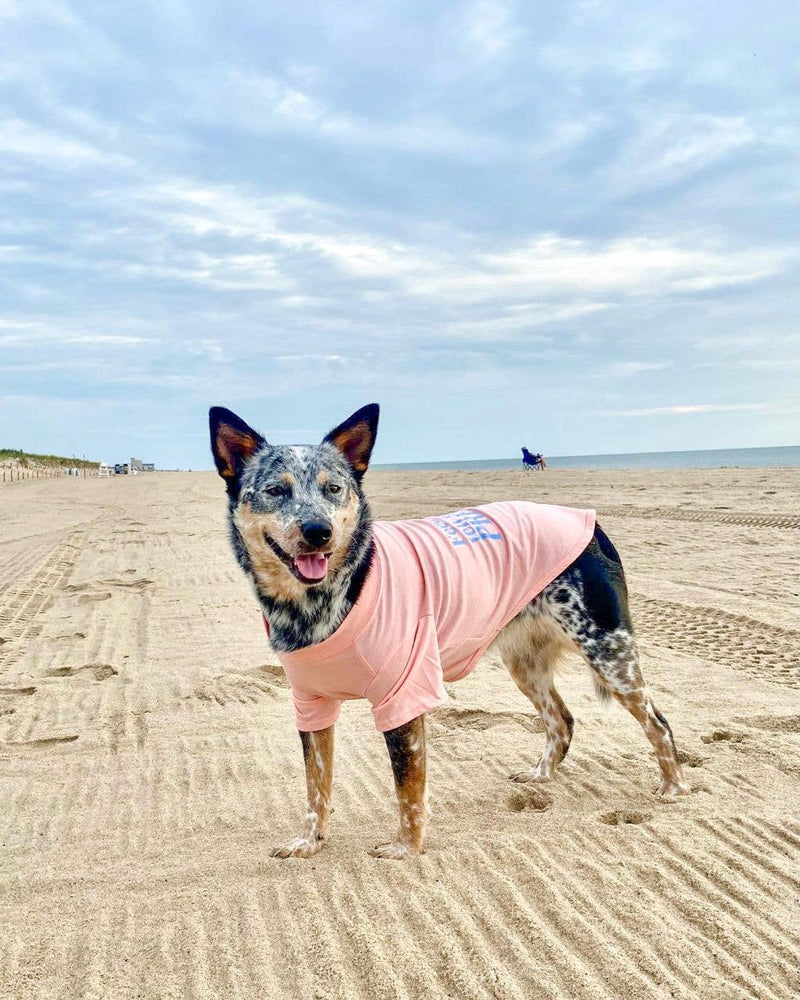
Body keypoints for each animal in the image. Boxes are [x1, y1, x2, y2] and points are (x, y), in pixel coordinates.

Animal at [209, 404, 692, 860]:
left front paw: (406, 849)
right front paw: (310, 842)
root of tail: (590, 523)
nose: (318, 531)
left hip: (609, 652)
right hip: (525, 661)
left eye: (334, 488)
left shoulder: (404, 696)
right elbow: (316, 786)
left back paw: (673, 787)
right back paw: (540, 775)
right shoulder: (310, 705)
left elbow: (408, 789)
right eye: (276, 490)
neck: (321, 600)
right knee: (562, 720)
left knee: (658, 722)